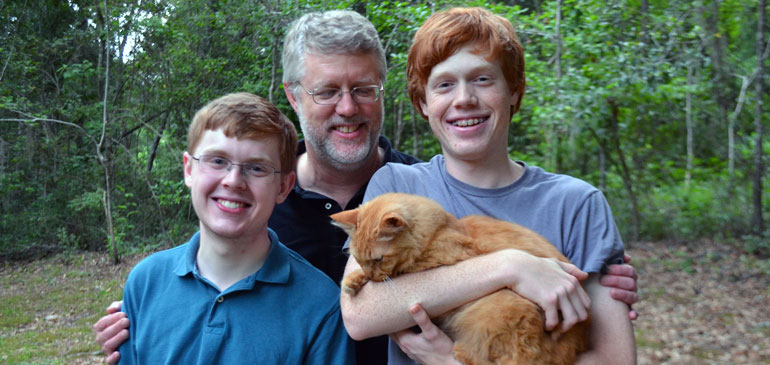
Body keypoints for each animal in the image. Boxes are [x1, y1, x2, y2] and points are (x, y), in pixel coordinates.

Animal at [330, 192, 588, 362]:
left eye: (378, 259)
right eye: (361, 259)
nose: (371, 274)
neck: (438, 231)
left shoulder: (447, 257)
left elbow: (401, 271)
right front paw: (353, 280)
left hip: (502, 305)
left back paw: (459, 351)